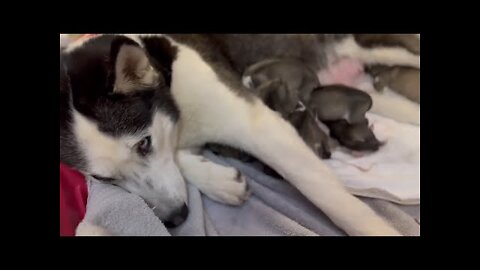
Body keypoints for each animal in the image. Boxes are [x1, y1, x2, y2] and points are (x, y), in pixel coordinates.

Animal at [61, 34, 420, 236]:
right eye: (102, 179)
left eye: (144, 143)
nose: (175, 218)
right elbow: (177, 157)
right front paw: (220, 181)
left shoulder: (261, 126)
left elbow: (336, 202)